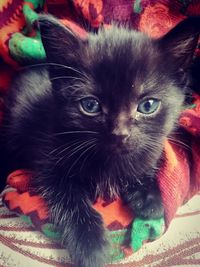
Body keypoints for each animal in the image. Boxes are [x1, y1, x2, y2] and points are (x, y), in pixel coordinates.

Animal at [1, 16, 200, 267]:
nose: (119, 133)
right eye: (90, 105)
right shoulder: (49, 162)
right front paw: (91, 246)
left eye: (147, 105)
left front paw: (149, 198)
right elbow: (69, 200)